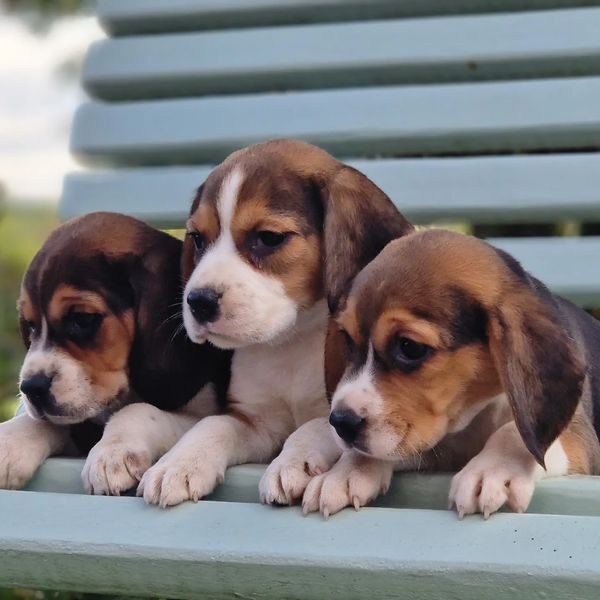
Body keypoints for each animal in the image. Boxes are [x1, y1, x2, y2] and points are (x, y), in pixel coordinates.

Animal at [0, 213, 230, 494]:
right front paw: (9, 441)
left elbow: (139, 410)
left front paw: (112, 454)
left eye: (82, 318)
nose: (31, 388)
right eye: (30, 326)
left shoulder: (204, 411)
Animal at [138, 137, 414, 506]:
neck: (289, 343)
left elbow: (314, 426)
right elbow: (211, 426)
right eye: (197, 239)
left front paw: (292, 463)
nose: (197, 301)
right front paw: (178, 464)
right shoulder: (256, 421)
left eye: (269, 238)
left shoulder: (344, 408)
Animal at [304, 227, 600, 516]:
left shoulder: (580, 438)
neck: (474, 414)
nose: (341, 422)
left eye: (410, 347)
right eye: (347, 339)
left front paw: (491, 470)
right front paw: (344, 472)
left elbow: (513, 432)